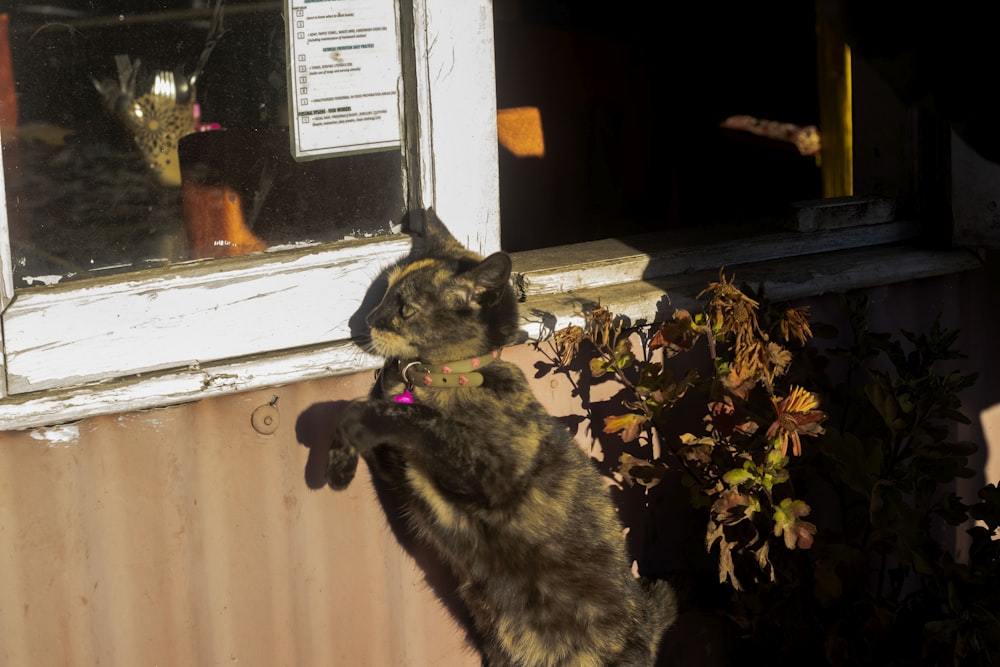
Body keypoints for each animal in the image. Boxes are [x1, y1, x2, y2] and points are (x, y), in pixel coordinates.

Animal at [328, 210, 680, 667]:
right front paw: (341, 457)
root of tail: (647, 622)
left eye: (405, 309)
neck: (450, 378)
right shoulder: (398, 467)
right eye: (384, 293)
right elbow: (368, 410)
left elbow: (417, 420)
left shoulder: (490, 476)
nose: (369, 320)